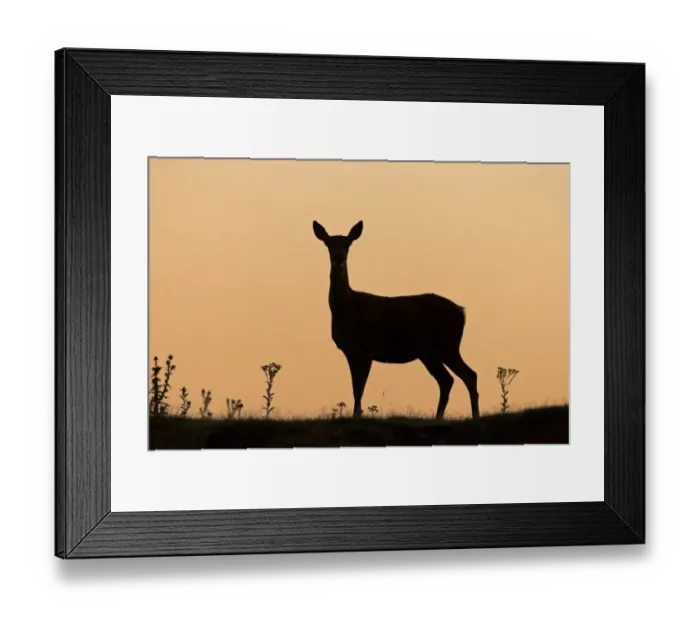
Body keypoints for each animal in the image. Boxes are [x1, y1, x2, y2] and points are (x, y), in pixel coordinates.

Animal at [313, 220, 480, 420]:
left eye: (348, 244)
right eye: (328, 244)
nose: (339, 258)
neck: (348, 309)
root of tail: (462, 311)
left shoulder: (367, 348)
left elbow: (359, 387)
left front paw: (357, 416)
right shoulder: (350, 350)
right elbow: (355, 387)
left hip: (448, 344)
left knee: (469, 375)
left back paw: (474, 416)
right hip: (429, 352)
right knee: (447, 380)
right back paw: (439, 417)